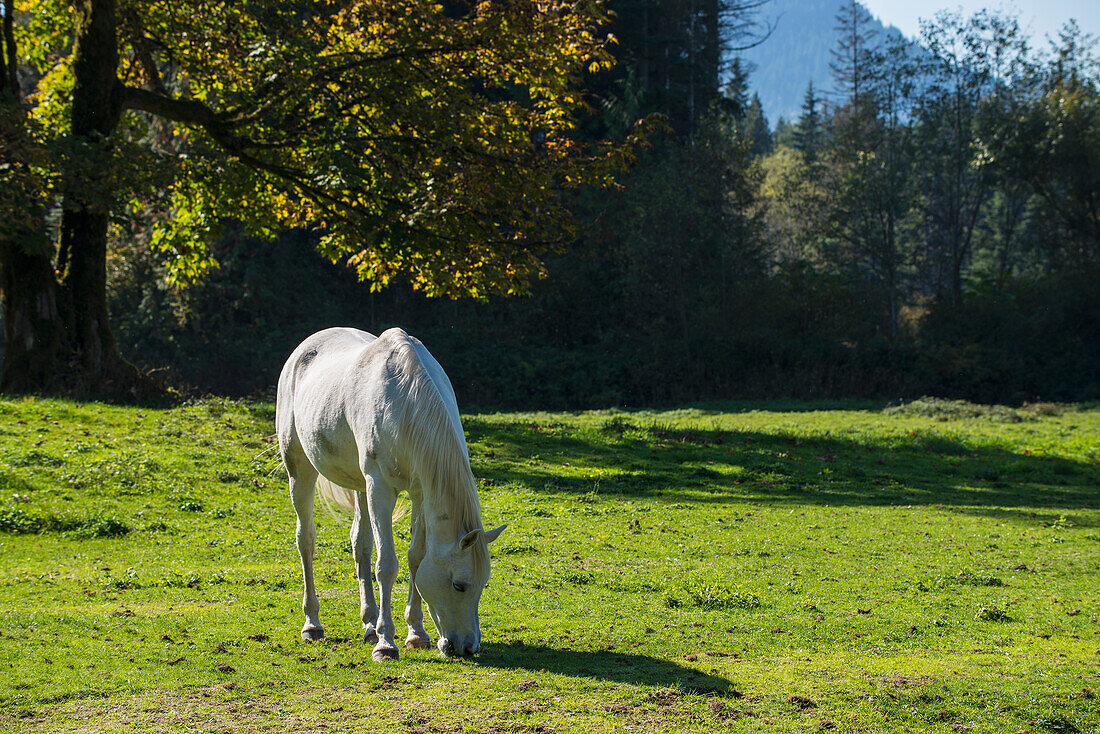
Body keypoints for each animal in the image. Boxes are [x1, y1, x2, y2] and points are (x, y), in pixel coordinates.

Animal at [277, 327, 503, 660]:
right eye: (459, 585)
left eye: (483, 584)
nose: (467, 647)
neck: (405, 400)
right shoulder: (380, 487)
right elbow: (386, 564)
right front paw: (386, 643)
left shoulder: (420, 492)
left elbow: (415, 558)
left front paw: (416, 633)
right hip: (301, 471)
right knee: (305, 539)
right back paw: (313, 624)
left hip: (360, 485)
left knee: (360, 544)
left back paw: (369, 623)